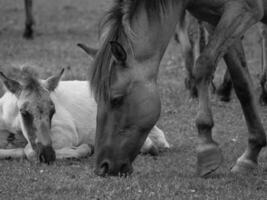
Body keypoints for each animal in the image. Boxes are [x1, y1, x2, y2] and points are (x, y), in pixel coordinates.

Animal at [0, 66, 171, 163]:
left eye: (53, 110)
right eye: (24, 112)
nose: (47, 155)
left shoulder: (66, 133)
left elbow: (29, 150)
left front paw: (84, 149)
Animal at [90, 0, 267, 177]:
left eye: (116, 99)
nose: (102, 167)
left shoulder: (244, 10)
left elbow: (203, 65)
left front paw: (206, 146)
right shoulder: (216, 21)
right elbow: (242, 85)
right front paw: (250, 155)